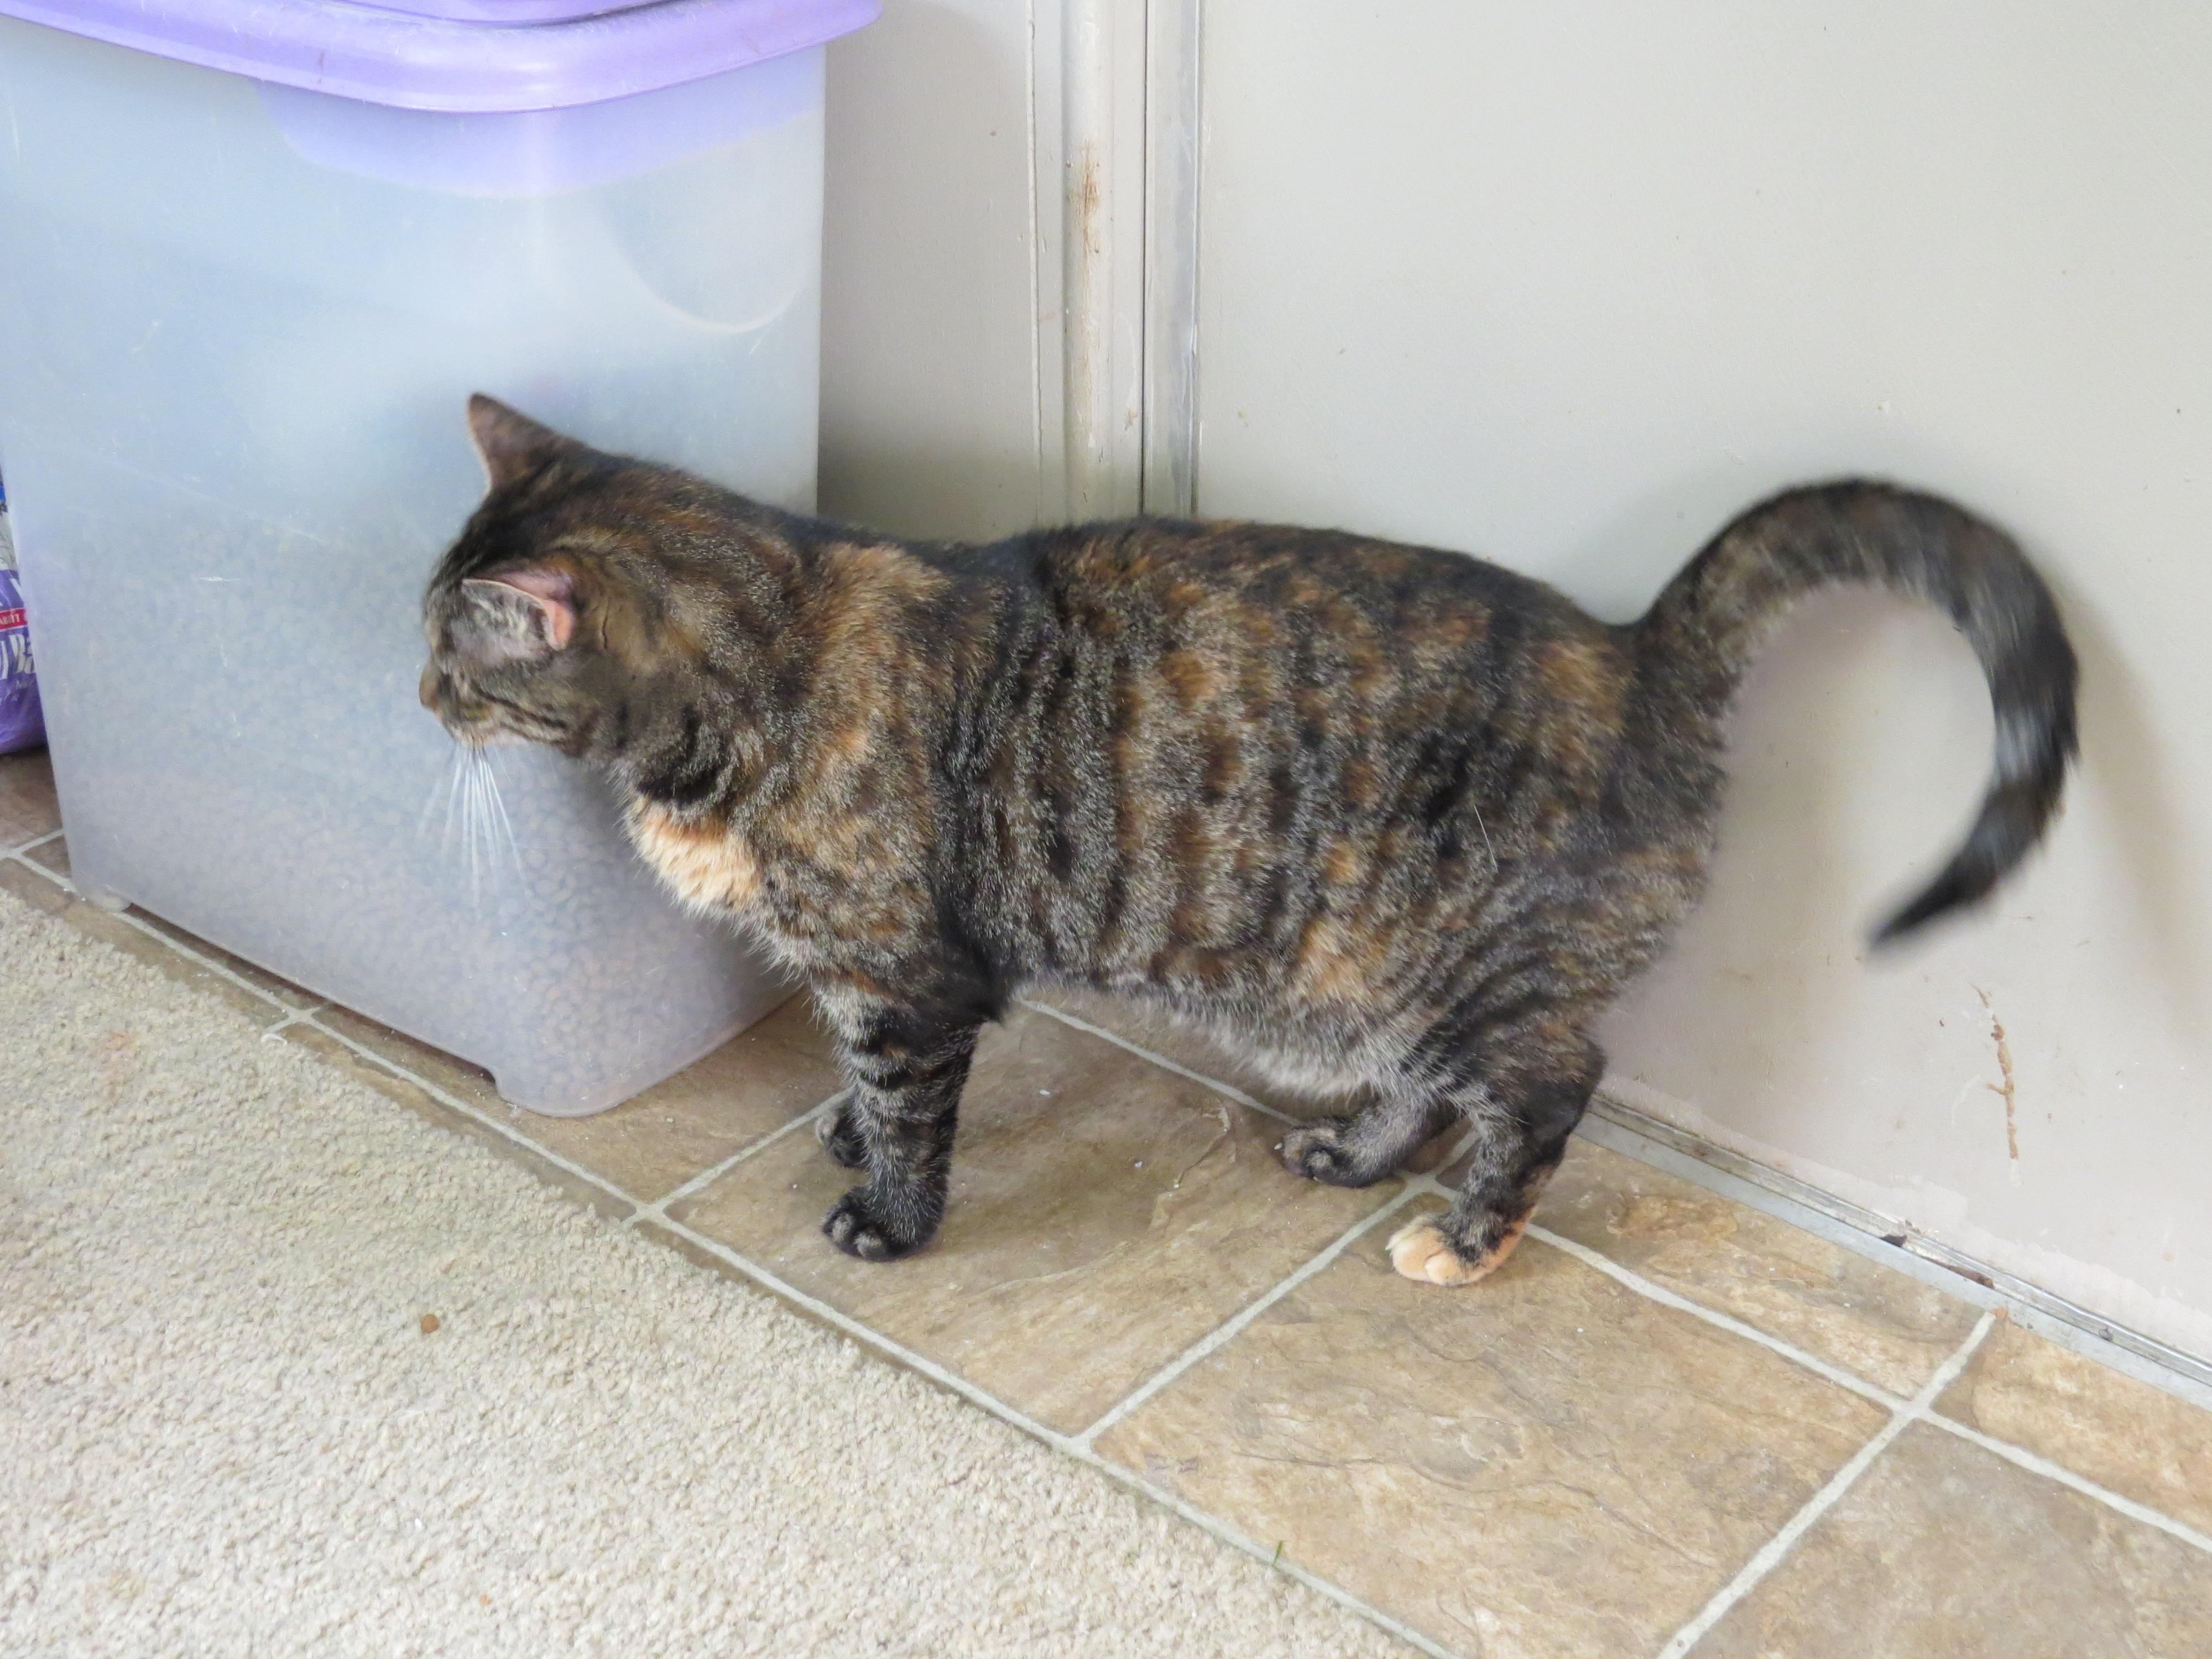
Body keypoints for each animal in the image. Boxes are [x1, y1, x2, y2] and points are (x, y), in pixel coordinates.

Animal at [422, 400, 2079, 1283]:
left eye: (454, 651)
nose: (420, 695)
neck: (760, 658)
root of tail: (1635, 647)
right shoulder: (866, 976)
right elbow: (854, 1079)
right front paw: (838, 1126)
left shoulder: (910, 978)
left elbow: (905, 1108)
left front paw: (888, 1211)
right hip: (1369, 984)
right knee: (1430, 1086)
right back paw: (1352, 1154)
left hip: (1467, 975)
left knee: (1549, 1090)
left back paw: (1465, 1243)